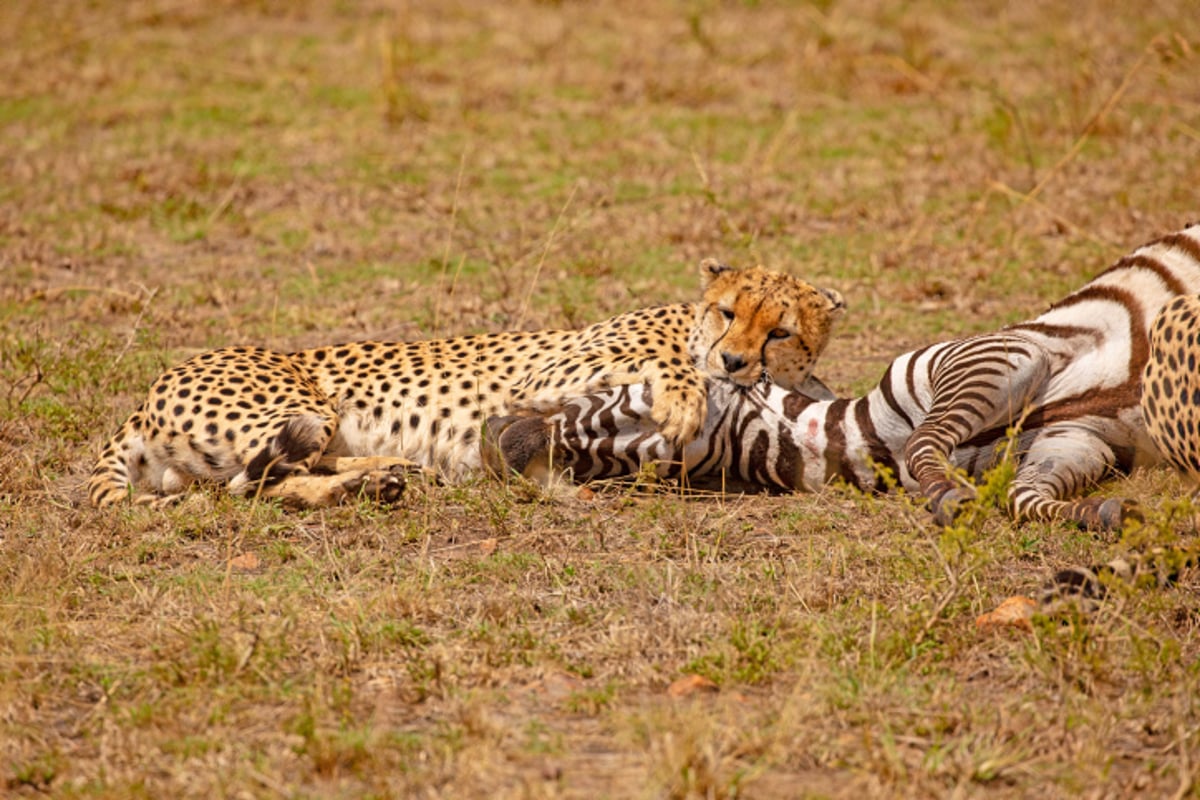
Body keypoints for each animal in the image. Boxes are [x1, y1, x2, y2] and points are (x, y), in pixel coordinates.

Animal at [87, 260, 844, 510]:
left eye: (780, 332)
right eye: (729, 313)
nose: (736, 364)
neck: (688, 323)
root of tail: (144, 398)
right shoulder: (548, 375)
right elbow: (668, 369)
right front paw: (687, 400)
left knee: (268, 481)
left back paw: (385, 477)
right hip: (305, 403)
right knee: (268, 478)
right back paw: (378, 478)